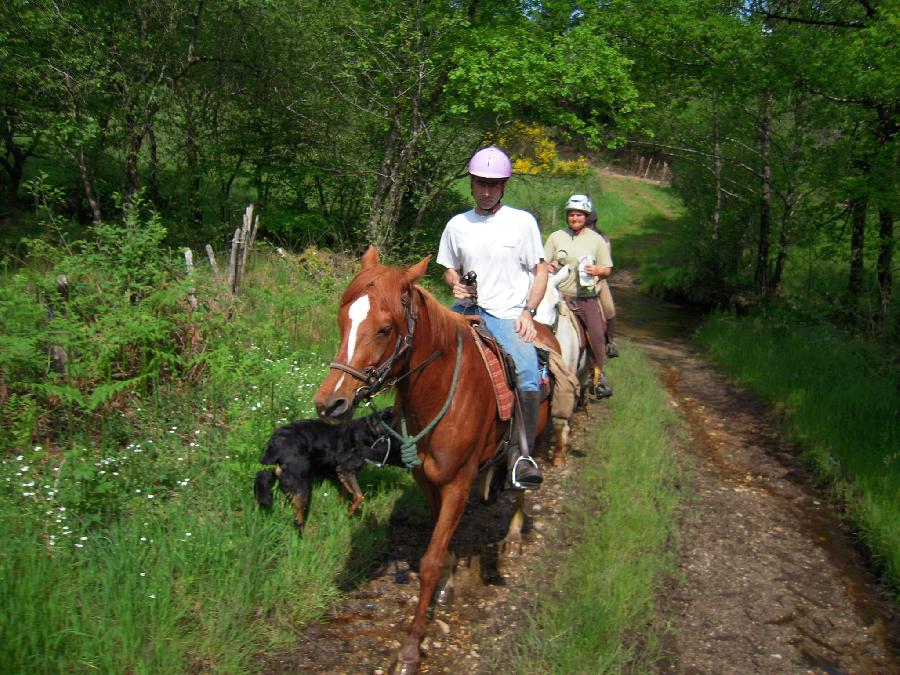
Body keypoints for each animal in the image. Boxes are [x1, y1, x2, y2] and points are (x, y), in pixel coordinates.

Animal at [251, 410, 396, 532]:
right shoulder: (346, 469)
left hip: (286, 478)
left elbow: (344, 493)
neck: (371, 429)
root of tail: (275, 447)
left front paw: (341, 510)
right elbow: (360, 495)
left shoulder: (341, 473)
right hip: (301, 482)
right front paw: (350, 511)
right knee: (298, 518)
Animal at [312, 248, 560, 675]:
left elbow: (428, 561)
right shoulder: (425, 479)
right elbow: (440, 545)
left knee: (522, 490)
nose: (330, 403)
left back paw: (513, 535)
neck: (441, 391)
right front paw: (451, 573)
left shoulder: (457, 483)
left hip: (536, 436)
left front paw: (411, 649)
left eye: (384, 329)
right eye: (343, 320)